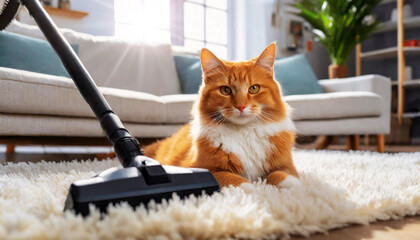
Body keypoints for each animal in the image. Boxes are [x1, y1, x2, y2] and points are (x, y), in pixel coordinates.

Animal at [144, 43, 298, 188]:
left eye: (254, 88)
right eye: (225, 90)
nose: (241, 106)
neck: (243, 132)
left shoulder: (286, 165)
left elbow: (279, 174)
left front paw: (294, 186)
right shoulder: (198, 168)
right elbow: (230, 177)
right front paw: (252, 189)